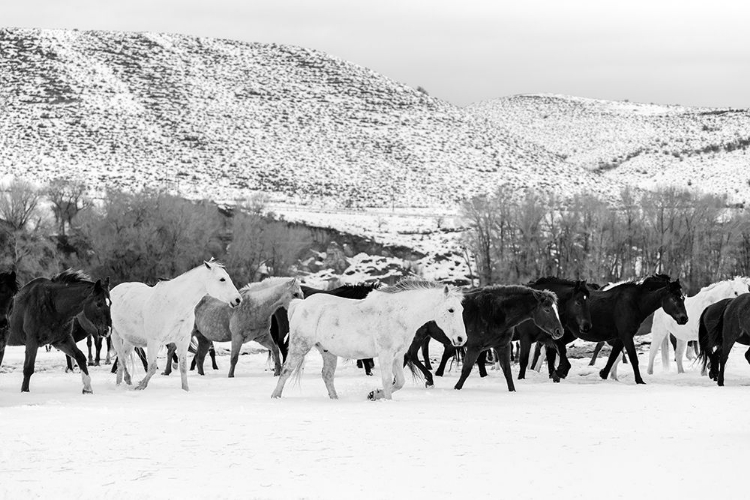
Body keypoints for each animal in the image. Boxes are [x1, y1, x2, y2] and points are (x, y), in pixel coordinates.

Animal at [110, 262, 241, 390]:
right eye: (222, 279)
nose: (238, 299)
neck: (175, 304)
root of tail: (113, 291)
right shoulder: (154, 341)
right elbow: (152, 367)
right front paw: (141, 385)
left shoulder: (183, 340)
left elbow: (183, 367)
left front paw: (185, 389)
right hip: (115, 336)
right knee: (122, 360)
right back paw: (127, 380)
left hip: (130, 340)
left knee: (121, 362)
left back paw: (119, 384)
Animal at [274, 280, 468, 400]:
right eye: (450, 310)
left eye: (461, 309)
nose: (461, 338)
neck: (399, 313)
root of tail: (300, 304)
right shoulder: (385, 354)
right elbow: (388, 381)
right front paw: (385, 399)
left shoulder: (397, 356)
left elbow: (399, 382)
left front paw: (374, 394)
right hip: (300, 346)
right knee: (286, 370)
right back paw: (275, 396)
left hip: (328, 352)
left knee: (327, 375)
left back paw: (335, 398)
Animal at [428, 286, 564, 390]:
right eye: (547, 309)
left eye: (557, 309)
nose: (560, 331)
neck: (493, 312)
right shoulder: (474, 347)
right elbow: (466, 369)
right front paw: (457, 388)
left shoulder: (502, 346)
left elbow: (507, 371)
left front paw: (512, 390)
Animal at [540, 276, 692, 384]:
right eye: (673, 298)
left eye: (683, 298)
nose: (684, 318)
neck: (635, 302)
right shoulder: (626, 335)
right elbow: (633, 358)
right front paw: (640, 381)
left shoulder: (620, 337)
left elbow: (613, 356)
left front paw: (603, 374)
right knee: (555, 347)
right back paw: (560, 371)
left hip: (569, 333)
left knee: (553, 348)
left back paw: (555, 373)